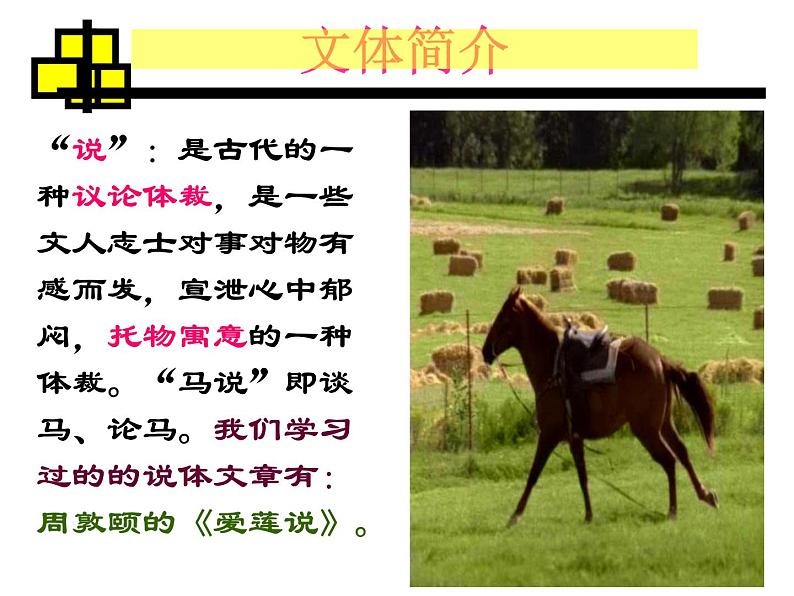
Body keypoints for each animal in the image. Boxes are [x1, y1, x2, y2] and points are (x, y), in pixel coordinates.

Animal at [481, 287, 718, 526]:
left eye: (502, 319)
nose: (484, 352)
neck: (553, 368)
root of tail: (661, 361)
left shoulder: (549, 435)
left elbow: (534, 474)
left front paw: (516, 515)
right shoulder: (574, 438)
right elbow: (582, 475)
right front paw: (588, 514)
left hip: (646, 429)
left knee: (669, 460)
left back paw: (672, 510)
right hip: (663, 424)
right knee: (682, 452)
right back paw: (705, 495)